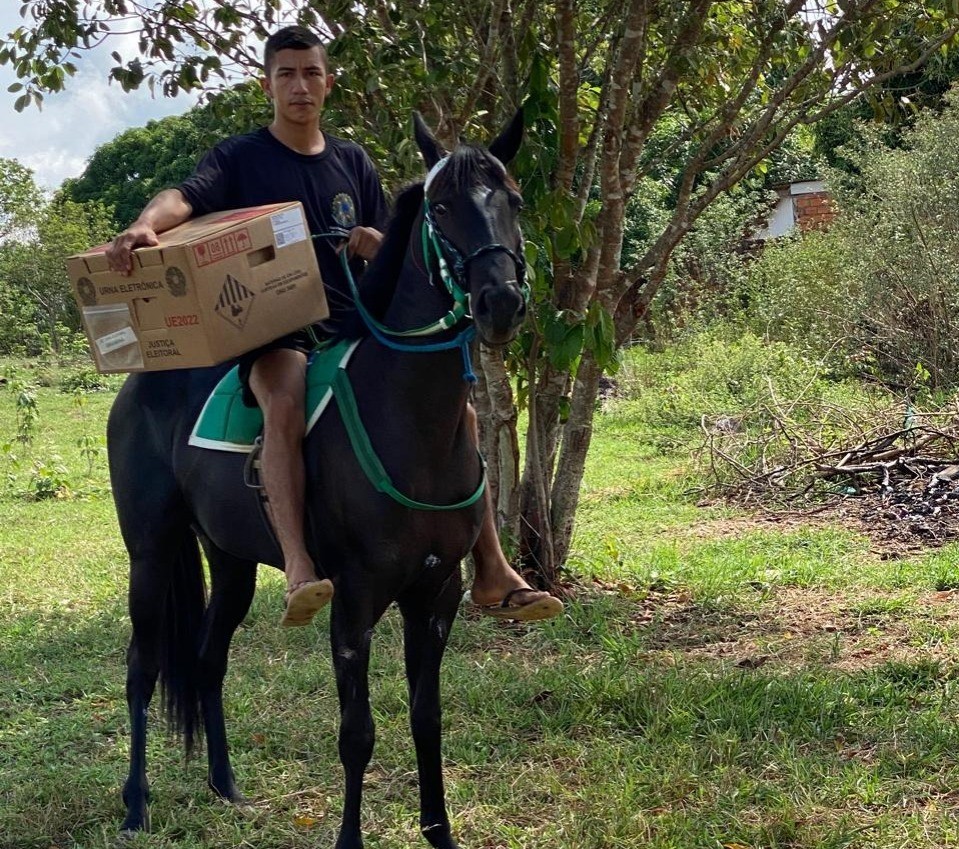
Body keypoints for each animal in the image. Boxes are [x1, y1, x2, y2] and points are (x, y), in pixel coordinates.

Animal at [109, 114, 528, 848]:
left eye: (514, 201)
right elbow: (357, 733)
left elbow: (426, 719)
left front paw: (439, 831)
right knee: (143, 668)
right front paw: (350, 839)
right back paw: (136, 805)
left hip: (230, 560)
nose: (499, 300)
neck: (407, 419)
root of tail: (139, 382)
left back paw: (226, 786)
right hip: (151, 555)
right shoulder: (354, 601)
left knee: (208, 658)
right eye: (442, 206)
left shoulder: (436, 595)